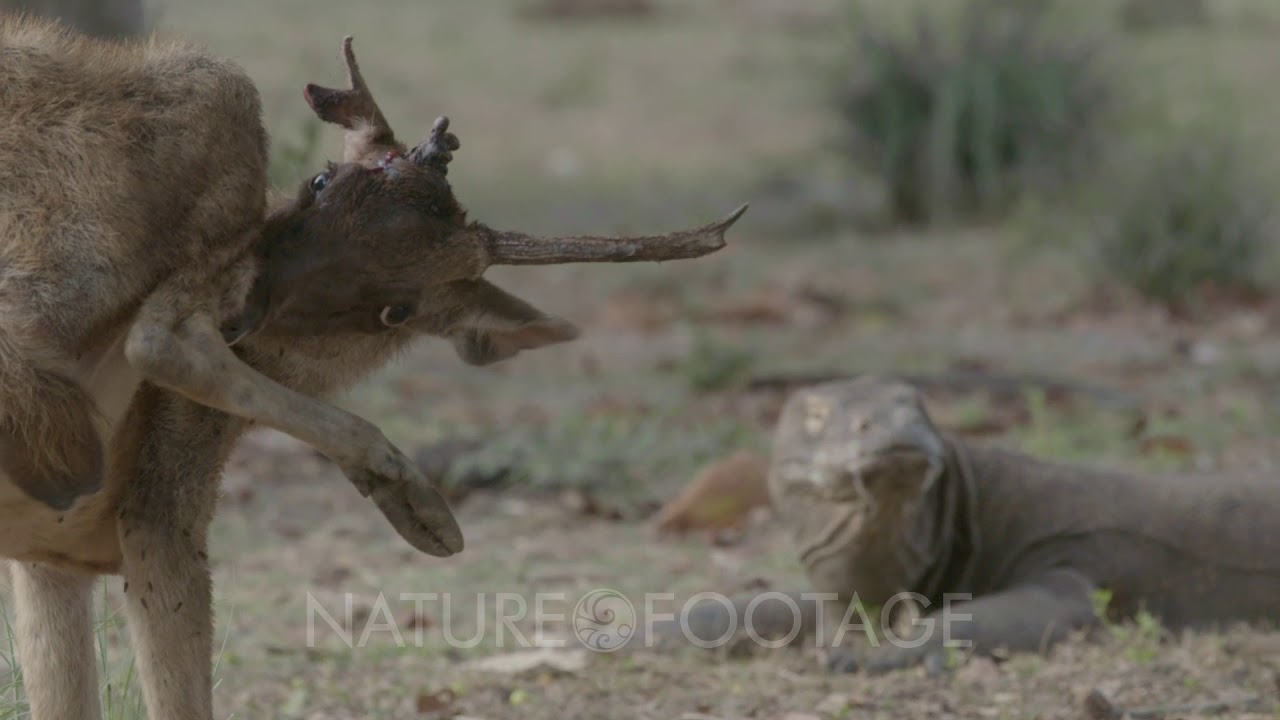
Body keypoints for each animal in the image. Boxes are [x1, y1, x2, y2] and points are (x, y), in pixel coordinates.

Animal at [0, 16, 746, 719]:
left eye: (397, 308)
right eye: (321, 178)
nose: (248, 302)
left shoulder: (53, 558)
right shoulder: (158, 514)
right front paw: (411, 497)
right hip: (216, 90)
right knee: (156, 337)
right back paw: (414, 496)